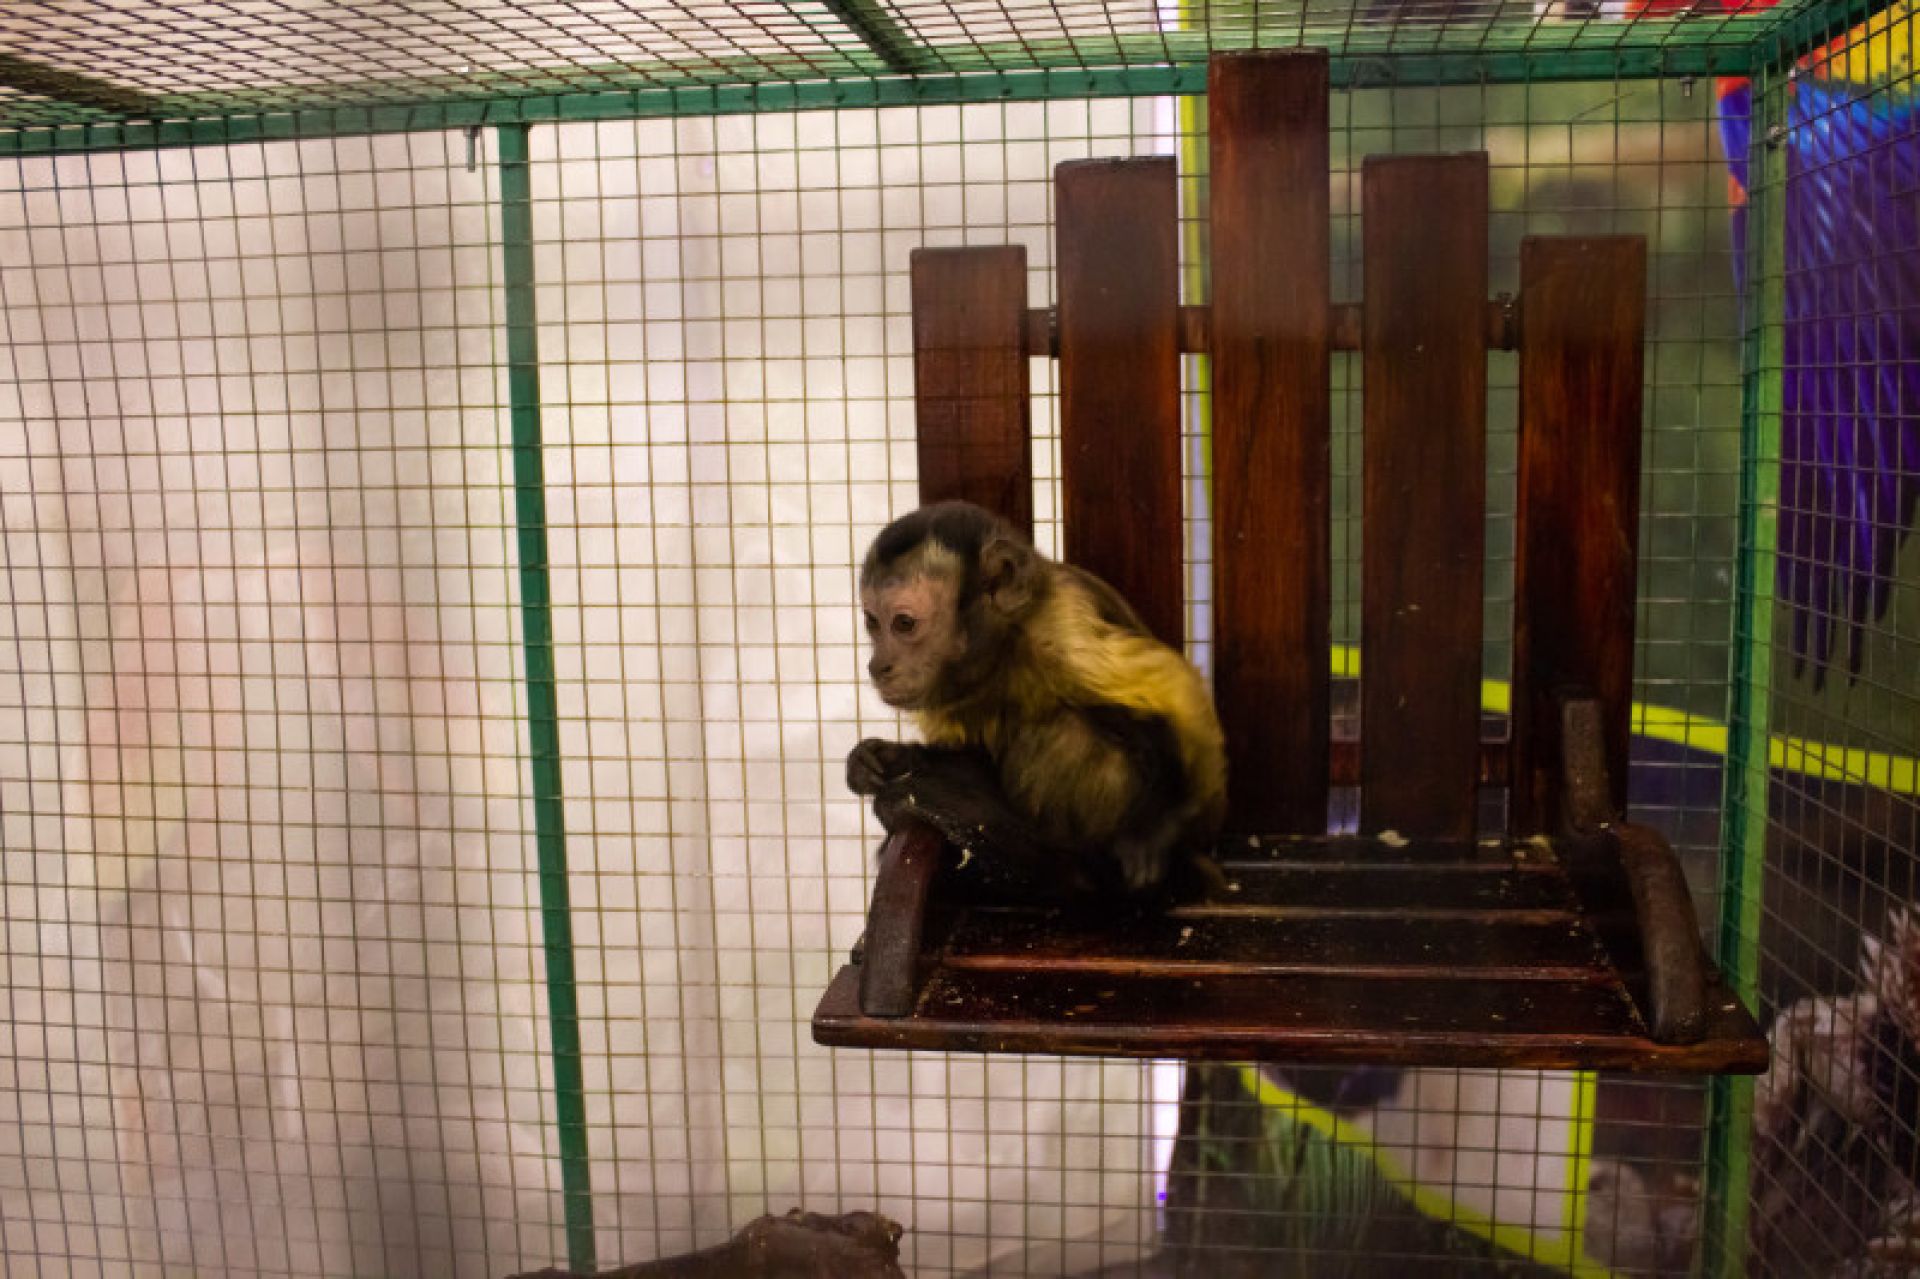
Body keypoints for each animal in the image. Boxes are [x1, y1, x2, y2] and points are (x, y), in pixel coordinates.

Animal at [846, 500, 1227, 904]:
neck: (1003, 648)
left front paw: (1151, 829)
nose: (877, 666)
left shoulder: (1062, 626)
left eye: (903, 623)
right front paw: (886, 759)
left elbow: (1177, 702)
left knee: (1071, 731)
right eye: (873, 622)